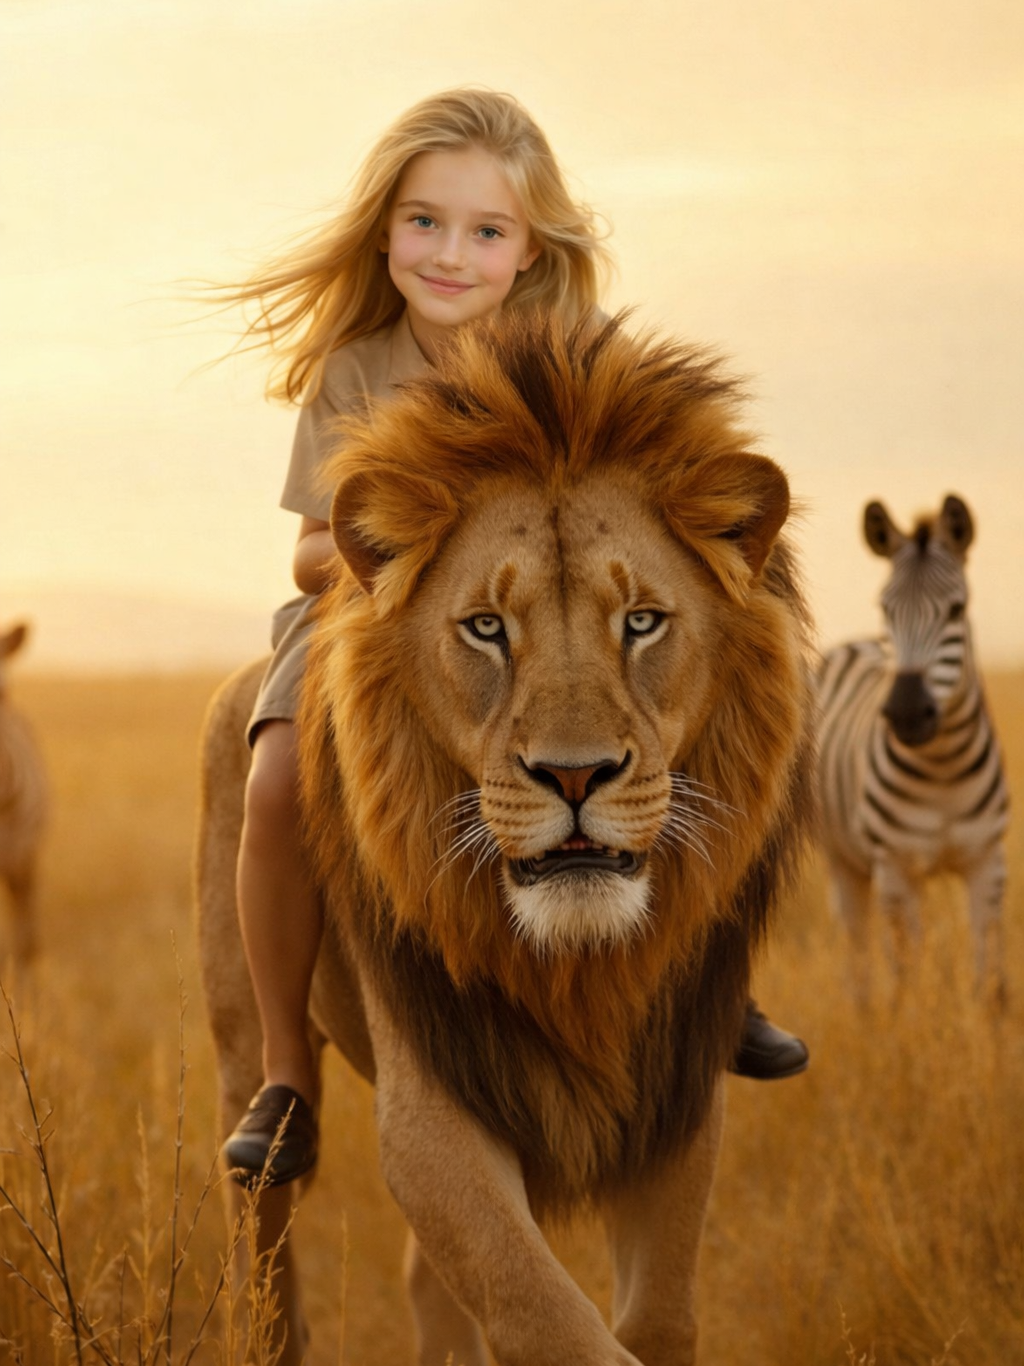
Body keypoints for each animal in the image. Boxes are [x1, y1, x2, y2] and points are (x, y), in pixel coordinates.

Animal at [196, 311, 815, 1366]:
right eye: (486, 628)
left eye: (642, 622)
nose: (574, 776)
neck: (576, 968)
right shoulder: (432, 1111)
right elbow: (545, 1317)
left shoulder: (680, 1094)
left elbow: (656, 1318)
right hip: (245, 1046)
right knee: (262, 1236)